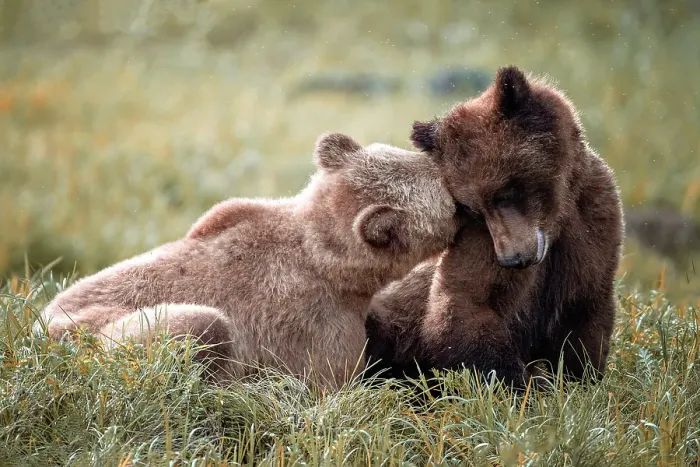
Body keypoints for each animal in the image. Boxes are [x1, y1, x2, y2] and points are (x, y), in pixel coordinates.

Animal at [40, 132, 460, 391]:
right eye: (452, 201)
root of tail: (36, 331)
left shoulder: (233, 211)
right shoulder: (321, 325)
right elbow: (333, 380)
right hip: (91, 337)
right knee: (199, 324)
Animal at [364, 65, 624, 389]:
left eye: (504, 193)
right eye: (472, 209)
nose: (512, 259)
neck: (557, 217)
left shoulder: (594, 224)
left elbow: (585, 315)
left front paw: (579, 378)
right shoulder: (478, 240)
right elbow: (467, 301)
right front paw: (517, 383)